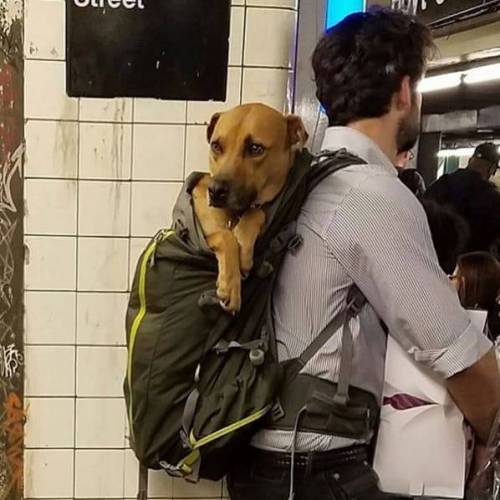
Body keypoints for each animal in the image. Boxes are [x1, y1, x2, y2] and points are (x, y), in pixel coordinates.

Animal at [192, 102, 306, 312]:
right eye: (216, 146)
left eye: (255, 148)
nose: (215, 191)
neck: (236, 214)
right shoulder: (203, 230)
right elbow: (225, 236)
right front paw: (230, 285)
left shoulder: (255, 207)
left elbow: (256, 212)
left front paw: (244, 246)